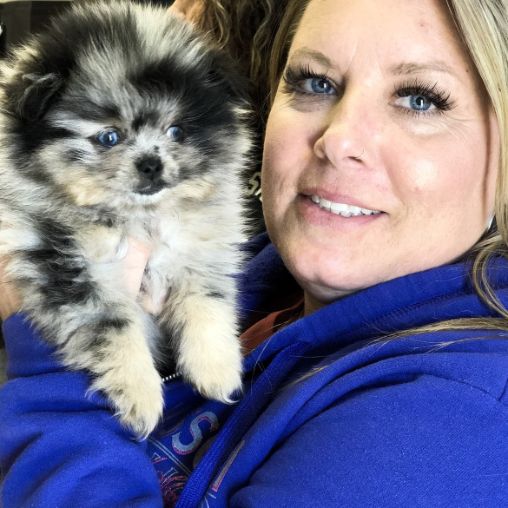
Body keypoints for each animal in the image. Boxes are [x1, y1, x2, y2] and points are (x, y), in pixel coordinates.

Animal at [0, 0, 252, 436]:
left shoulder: (201, 250)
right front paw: (141, 393)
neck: (137, 217)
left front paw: (216, 367)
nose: (151, 164)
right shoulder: (65, 264)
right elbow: (115, 328)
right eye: (109, 137)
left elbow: (207, 303)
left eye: (177, 131)